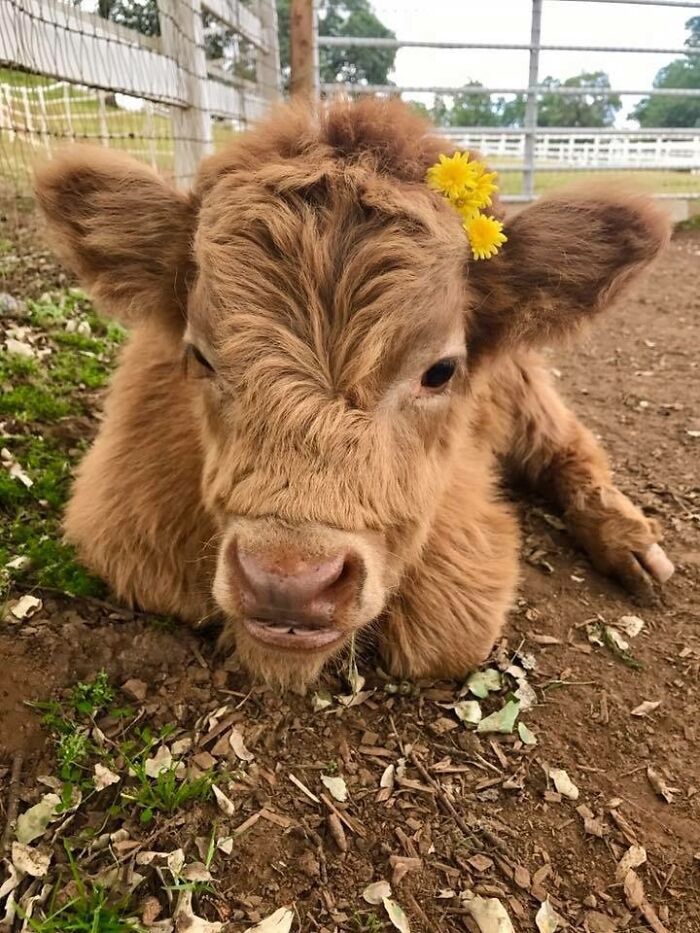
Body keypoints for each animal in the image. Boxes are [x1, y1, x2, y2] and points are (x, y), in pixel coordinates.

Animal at [35, 98, 674, 689]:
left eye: (440, 371)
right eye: (200, 356)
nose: (288, 583)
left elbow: (446, 631)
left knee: (568, 449)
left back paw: (631, 544)